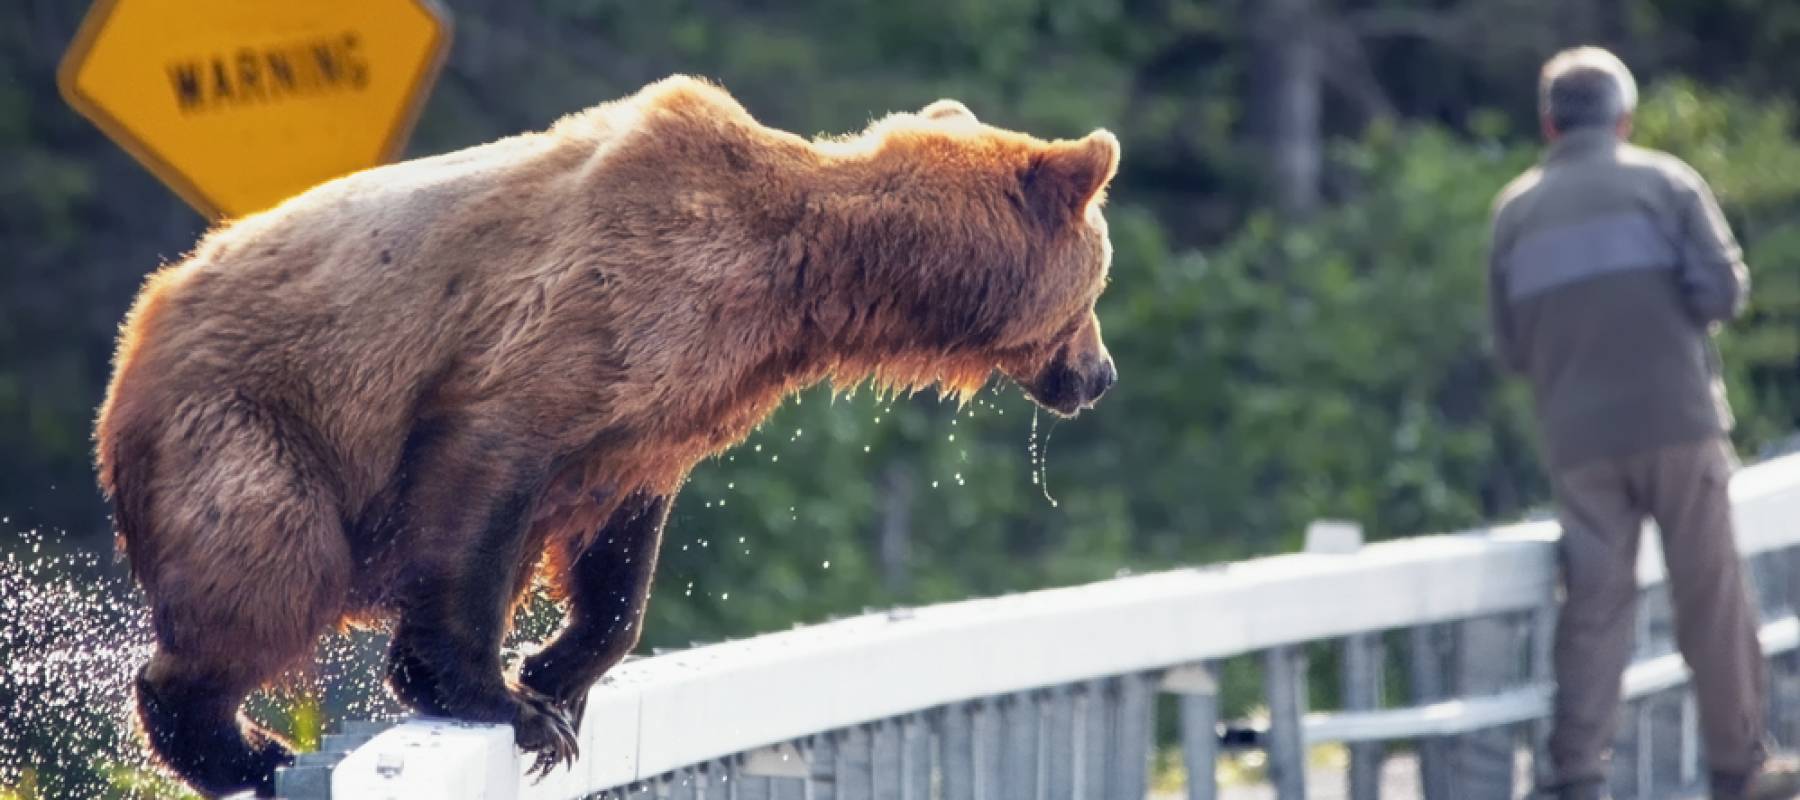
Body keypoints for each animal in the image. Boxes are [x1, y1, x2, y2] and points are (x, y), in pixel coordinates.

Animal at [94, 76, 1119, 797]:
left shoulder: (666, 407)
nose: (1100, 375)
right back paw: (247, 748)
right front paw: (506, 701)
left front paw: (559, 674)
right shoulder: (578, 320)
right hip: (248, 423)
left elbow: (619, 549)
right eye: (1098, 283)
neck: (795, 281)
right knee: (268, 567)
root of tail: (136, 332)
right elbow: (483, 476)